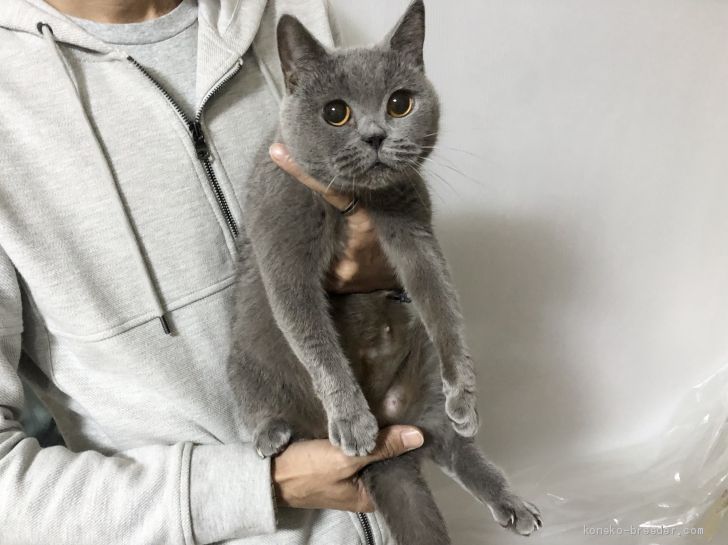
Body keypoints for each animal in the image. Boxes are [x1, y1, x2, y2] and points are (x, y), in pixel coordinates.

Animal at [231, 1, 542, 542]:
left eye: (400, 104)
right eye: (336, 112)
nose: (376, 135)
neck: (361, 200)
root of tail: (395, 422)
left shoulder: (414, 227)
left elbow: (440, 301)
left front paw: (465, 393)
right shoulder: (282, 244)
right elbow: (312, 334)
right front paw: (353, 422)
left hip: (426, 398)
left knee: (456, 447)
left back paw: (511, 501)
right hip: (242, 363)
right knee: (255, 401)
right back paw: (273, 433)